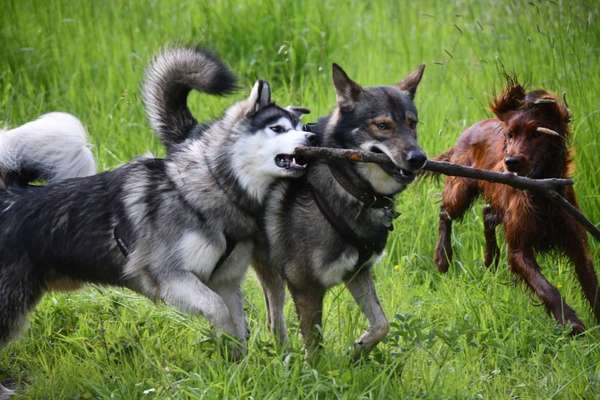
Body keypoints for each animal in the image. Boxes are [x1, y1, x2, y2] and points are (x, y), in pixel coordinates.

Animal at [0, 45, 316, 370]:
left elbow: (236, 324)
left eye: (300, 127)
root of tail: (10, 191)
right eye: (277, 128)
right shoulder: (170, 276)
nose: (312, 136)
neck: (211, 187)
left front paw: (236, 365)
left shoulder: (226, 281)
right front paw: (226, 349)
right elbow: (219, 311)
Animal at [253, 63, 426, 360]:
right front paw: (317, 371)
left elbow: (382, 324)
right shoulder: (306, 286)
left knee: (273, 322)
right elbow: (314, 346)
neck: (346, 183)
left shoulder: (357, 273)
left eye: (412, 123)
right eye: (382, 125)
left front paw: (357, 350)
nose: (419, 159)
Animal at [434, 79, 596, 332]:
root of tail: (471, 128)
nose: (510, 162)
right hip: (460, 188)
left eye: (536, 134)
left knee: (487, 213)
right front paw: (571, 322)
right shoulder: (520, 250)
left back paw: (490, 257)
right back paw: (442, 257)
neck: (541, 195)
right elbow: (546, 288)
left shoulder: (577, 244)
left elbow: (592, 285)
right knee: (445, 212)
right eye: (509, 135)